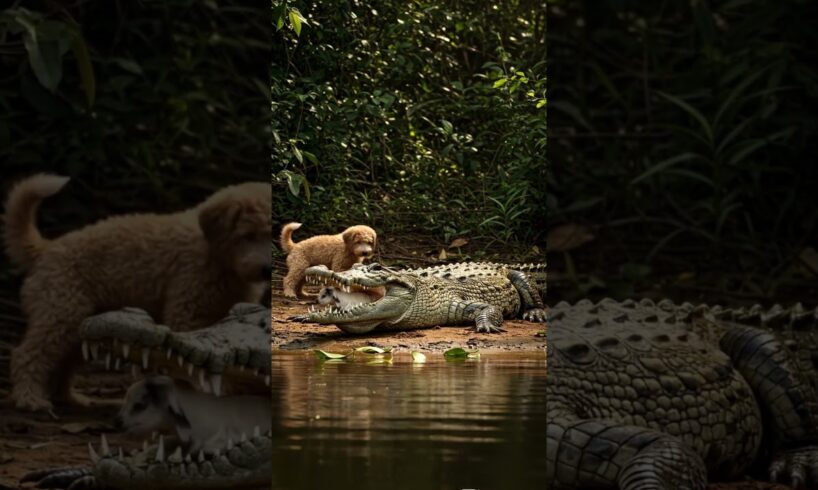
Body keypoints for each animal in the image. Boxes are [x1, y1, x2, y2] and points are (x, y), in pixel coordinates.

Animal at [3, 174, 272, 412]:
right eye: (248, 235)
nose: (266, 269)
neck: (218, 258)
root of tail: (47, 249)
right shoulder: (188, 311)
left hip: (84, 325)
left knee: (62, 362)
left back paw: (71, 399)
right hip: (61, 312)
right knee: (27, 355)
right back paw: (30, 399)